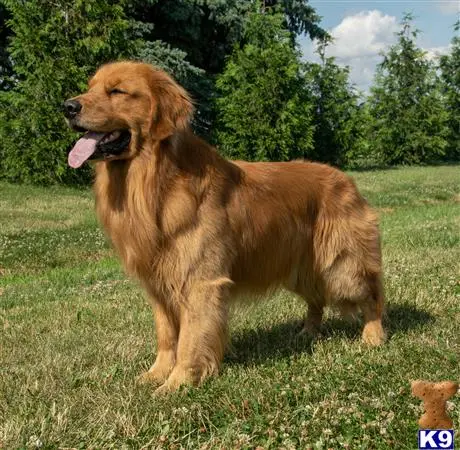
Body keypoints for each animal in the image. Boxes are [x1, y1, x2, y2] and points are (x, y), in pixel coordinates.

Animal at [63, 60, 386, 394]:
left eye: (117, 91)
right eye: (90, 87)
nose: (68, 107)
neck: (156, 183)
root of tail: (346, 179)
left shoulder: (199, 281)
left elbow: (190, 339)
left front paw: (177, 383)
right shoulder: (158, 284)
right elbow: (167, 336)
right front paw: (156, 374)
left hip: (342, 266)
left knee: (373, 294)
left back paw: (373, 336)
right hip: (299, 268)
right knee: (317, 300)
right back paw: (308, 332)